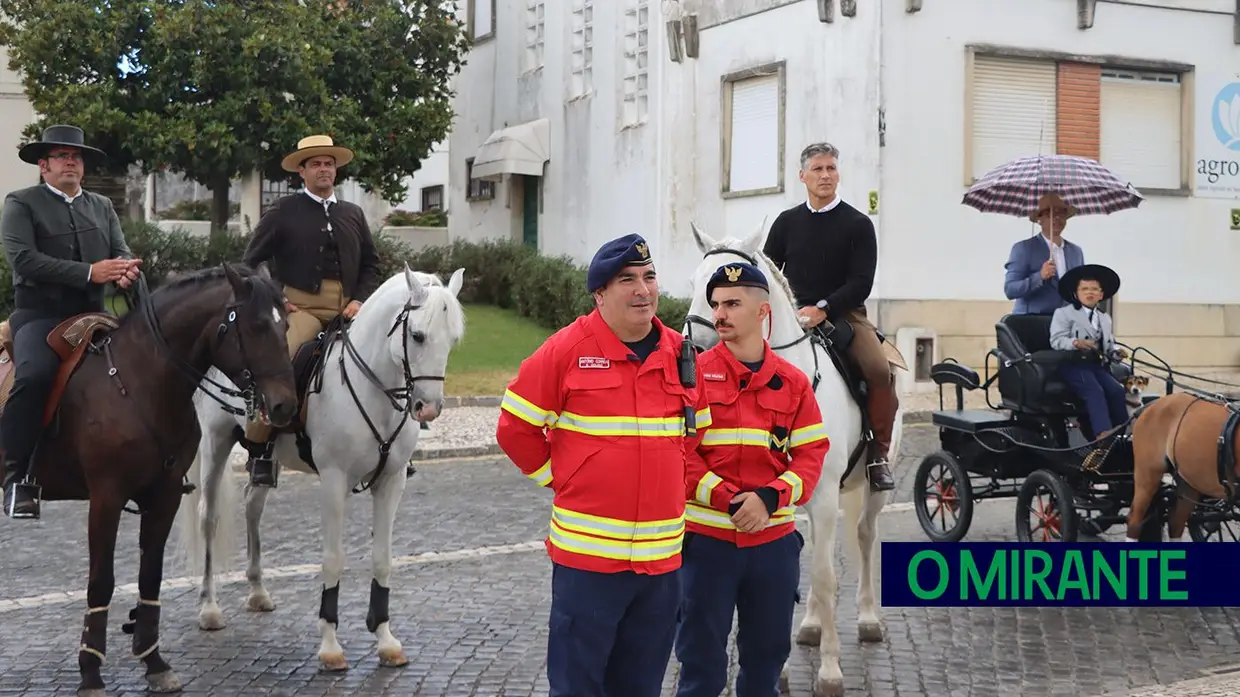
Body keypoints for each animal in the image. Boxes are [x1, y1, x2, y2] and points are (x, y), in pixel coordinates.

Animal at [1, 261, 297, 694]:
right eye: (257, 325)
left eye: (285, 324)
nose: (285, 406)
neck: (139, 383)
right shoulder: (106, 498)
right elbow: (101, 581)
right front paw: (90, 670)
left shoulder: (164, 497)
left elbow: (150, 576)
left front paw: (153, 661)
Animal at [173, 262, 466, 669]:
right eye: (418, 335)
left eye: (453, 339)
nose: (429, 408)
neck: (372, 389)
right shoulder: (333, 481)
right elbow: (333, 559)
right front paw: (329, 643)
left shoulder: (391, 483)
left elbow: (383, 558)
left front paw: (385, 638)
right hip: (215, 443)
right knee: (209, 518)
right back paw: (209, 607)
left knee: (253, 507)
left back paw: (258, 590)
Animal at [684, 221, 907, 694]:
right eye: (694, 284)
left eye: (728, 296)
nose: (700, 346)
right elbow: (787, 576)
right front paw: (780, 668)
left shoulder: (823, 498)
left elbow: (824, 577)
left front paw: (830, 671)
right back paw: (809, 627)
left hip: (873, 486)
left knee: (864, 535)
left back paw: (866, 618)